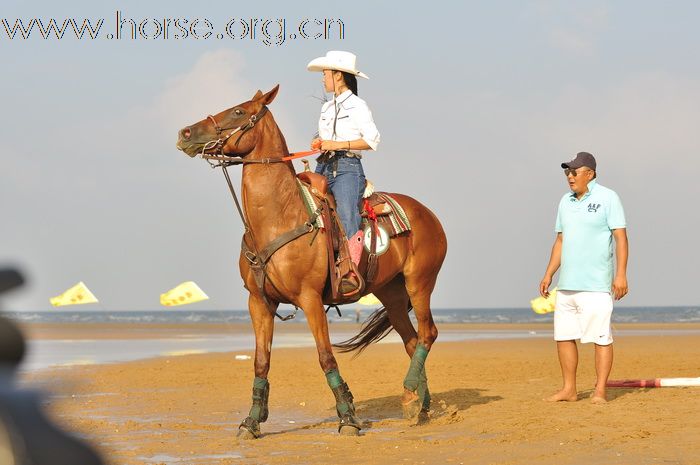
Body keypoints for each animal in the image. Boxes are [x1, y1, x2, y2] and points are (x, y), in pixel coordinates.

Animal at [175, 85, 448, 436]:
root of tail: (428, 214)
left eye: (238, 111)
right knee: (412, 342)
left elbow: (326, 356)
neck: (279, 217)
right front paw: (252, 421)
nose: (185, 133)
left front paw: (348, 418)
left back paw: (412, 396)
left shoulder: (310, 299)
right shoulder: (259, 302)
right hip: (391, 294)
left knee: (428, 334)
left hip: (420, 283)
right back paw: (416, 403)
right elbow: (261, 360)